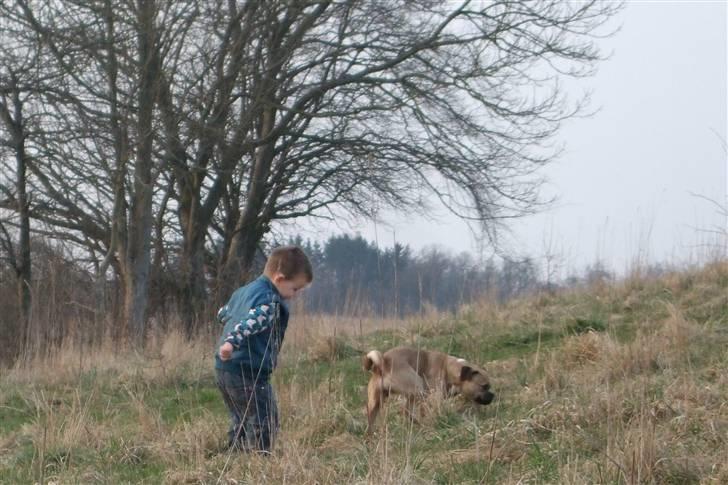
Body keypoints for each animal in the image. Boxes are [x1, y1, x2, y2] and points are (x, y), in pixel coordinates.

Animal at [362, 344, 494, 432]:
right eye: (484, 386)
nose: (493, 395)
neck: (450, 369)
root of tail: (383, 363)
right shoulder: (434, 398)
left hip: (375, 402)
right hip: (417, 387)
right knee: (405, 409)